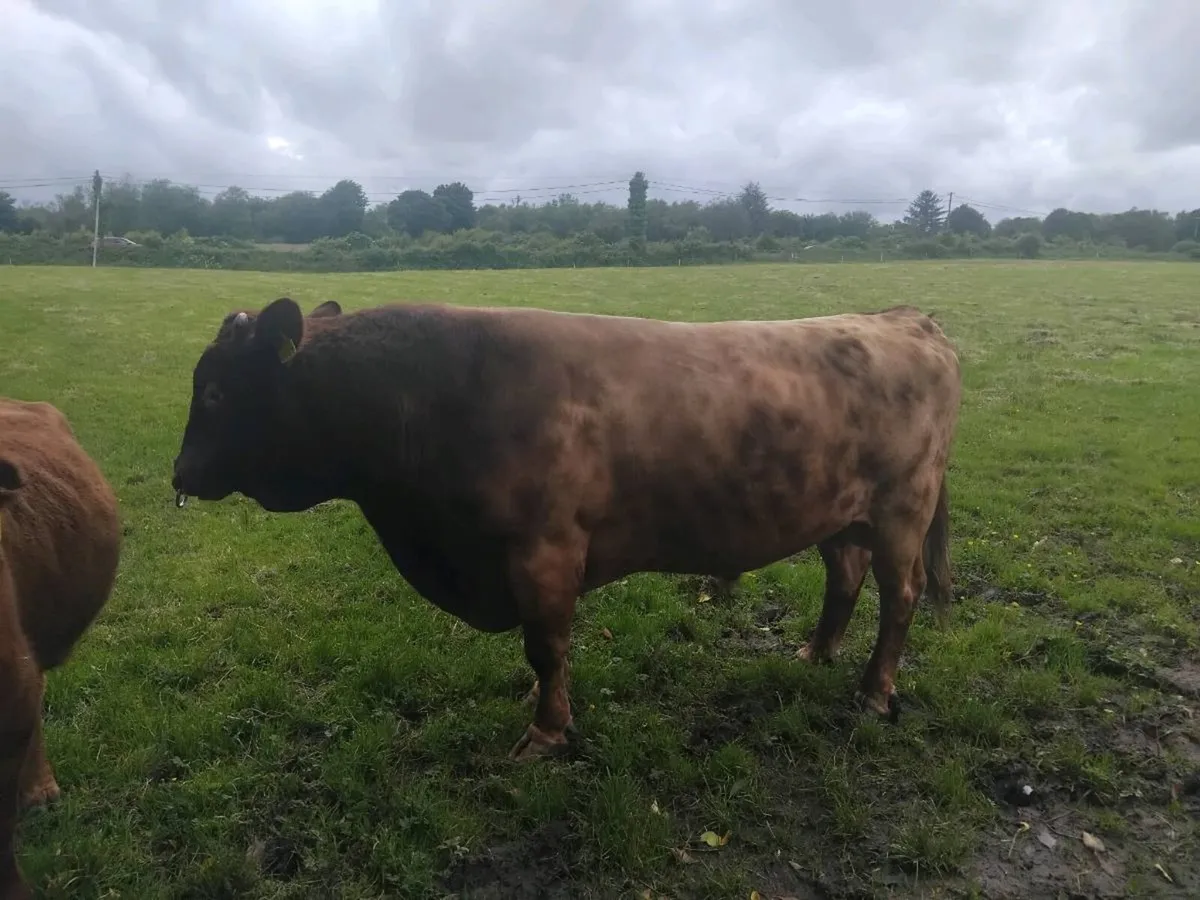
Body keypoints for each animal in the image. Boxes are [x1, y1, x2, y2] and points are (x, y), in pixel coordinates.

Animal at [171, 297, 961, 762]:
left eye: (215, 392)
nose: (179, 472)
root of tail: (901, 317)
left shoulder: (543, 551)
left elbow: (545, 648)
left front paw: (548, 730)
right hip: (840, 510)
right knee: (845, 577)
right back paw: (815, 652)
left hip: (902, 510)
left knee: (901, 596)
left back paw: (874, 690)